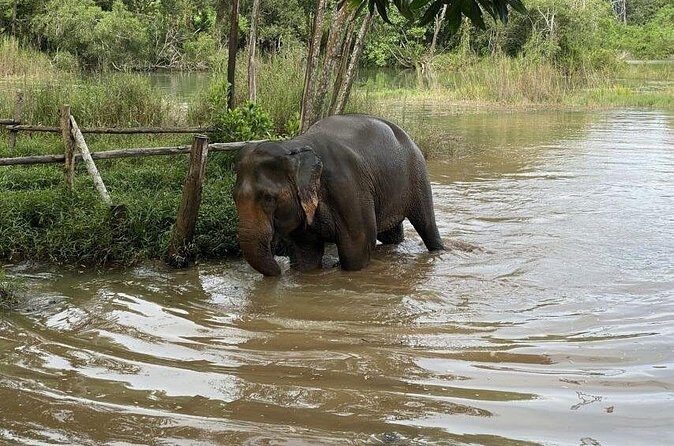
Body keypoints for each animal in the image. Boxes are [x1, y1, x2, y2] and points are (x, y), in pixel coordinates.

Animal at [233, 114, 444, 276]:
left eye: (268, 198)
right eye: (234, 198)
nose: (279, 268)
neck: (295, 146)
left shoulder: (348, 189)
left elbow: (357, 248)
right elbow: (306, 254)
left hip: (418, 175)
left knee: (426, 225)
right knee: (391, 236)